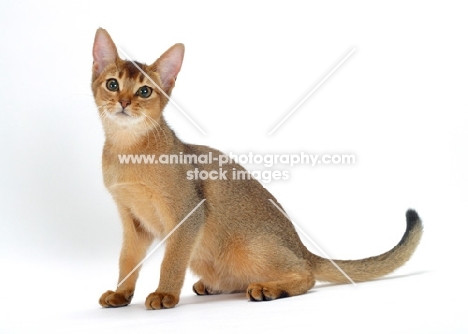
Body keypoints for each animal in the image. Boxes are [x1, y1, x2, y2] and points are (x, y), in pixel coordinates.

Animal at [89, 28, 422, 310]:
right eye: (112, 84)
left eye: (145, 92)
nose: (124, 101)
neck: (128, 152)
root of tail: (300, 247)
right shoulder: (132, 221)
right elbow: (127, 260)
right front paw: (121, 293)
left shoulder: (187, 214)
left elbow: (170, 261)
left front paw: (164, 294)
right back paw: (214, 285)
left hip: (247, 246)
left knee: (307, 275)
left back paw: (269, 288)